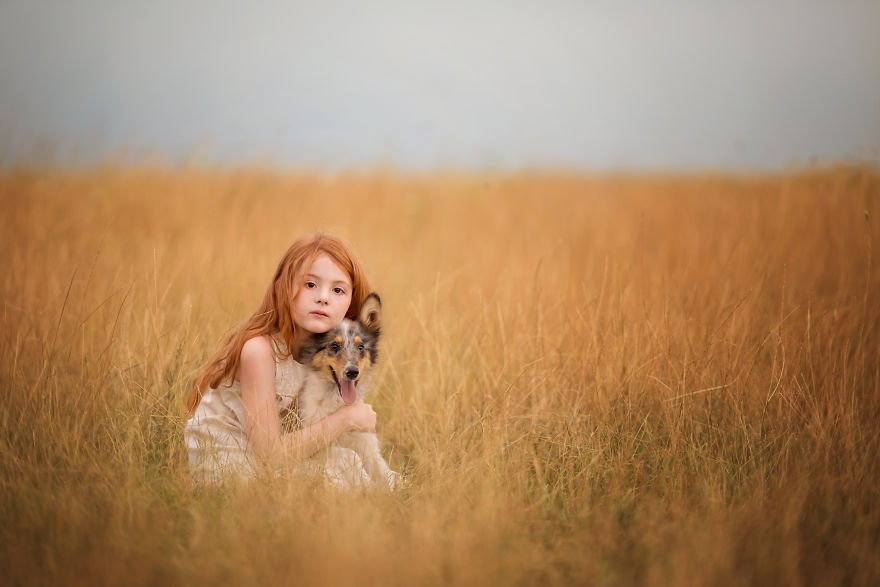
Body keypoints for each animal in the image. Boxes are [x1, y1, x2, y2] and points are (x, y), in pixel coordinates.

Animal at [298, 294, 404, 492]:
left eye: (361, 347)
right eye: (334, 346)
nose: (352, 372)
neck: (339, 406)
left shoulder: (368, 445)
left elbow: (390, 473)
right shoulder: (315, 449)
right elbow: (349, 454)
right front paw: (369, 485)